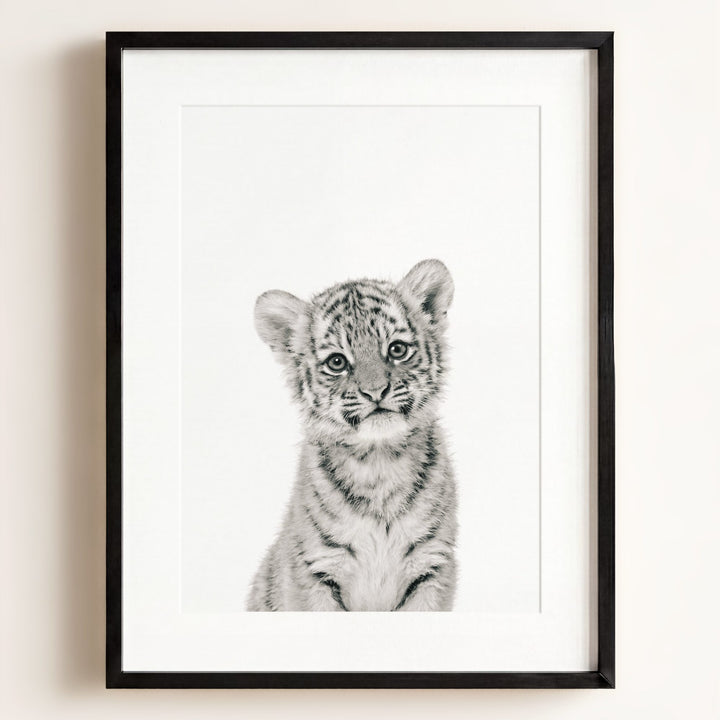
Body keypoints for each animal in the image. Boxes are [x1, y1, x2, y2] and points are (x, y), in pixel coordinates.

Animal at [247, 259, 457, 611]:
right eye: (337, 362)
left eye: (397, 349)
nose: (376, 391)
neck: (379, 463)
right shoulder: (315, 570)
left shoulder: (432, 566)